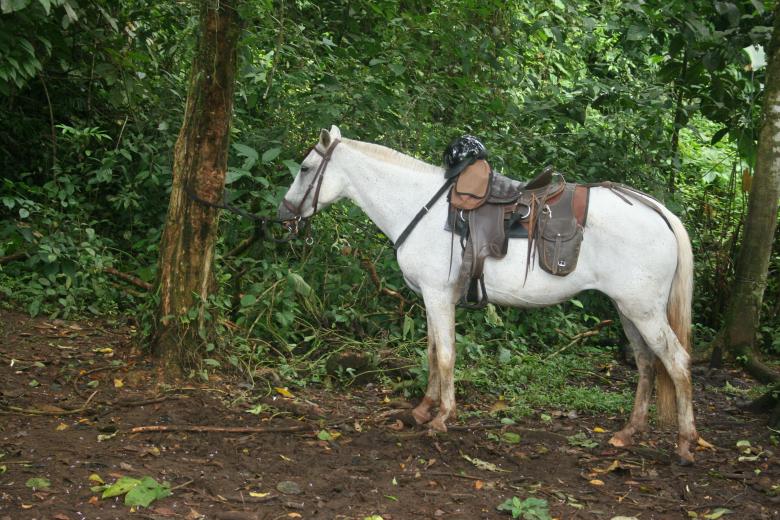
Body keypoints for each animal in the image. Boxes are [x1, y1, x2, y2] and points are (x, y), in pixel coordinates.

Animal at [278, 126, 698, 464]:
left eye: (305, 169)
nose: (283, 214)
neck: (421, 208)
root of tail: (658, 211)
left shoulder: (436, 294)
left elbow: (445, 355)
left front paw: (442, 417)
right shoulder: (433, 297)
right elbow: (432, 351)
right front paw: (423, 410)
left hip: (644, 310)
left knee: (677, 362)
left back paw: (685, 444)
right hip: (628, 309)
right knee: (646, 363)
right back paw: (628, 433)